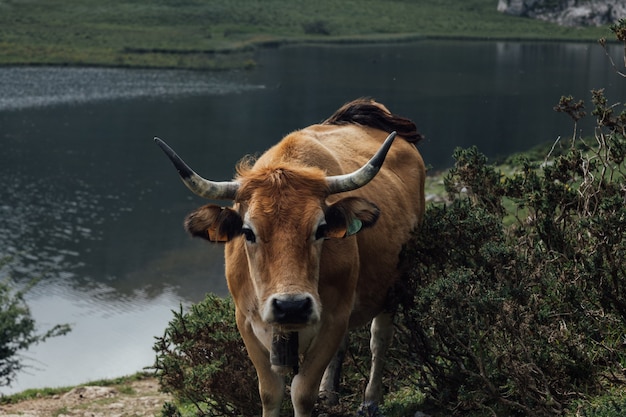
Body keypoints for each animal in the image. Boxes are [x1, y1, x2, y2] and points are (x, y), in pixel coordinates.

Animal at [155, 98, 424, 416]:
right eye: (248, 232)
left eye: (321, 229)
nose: (291, 306)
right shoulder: (247, 322)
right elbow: (270, 392)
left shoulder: (333, 319)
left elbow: (302, 392)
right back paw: (329, 394)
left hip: (396, 284)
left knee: (379, 338)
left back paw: (370, 400)